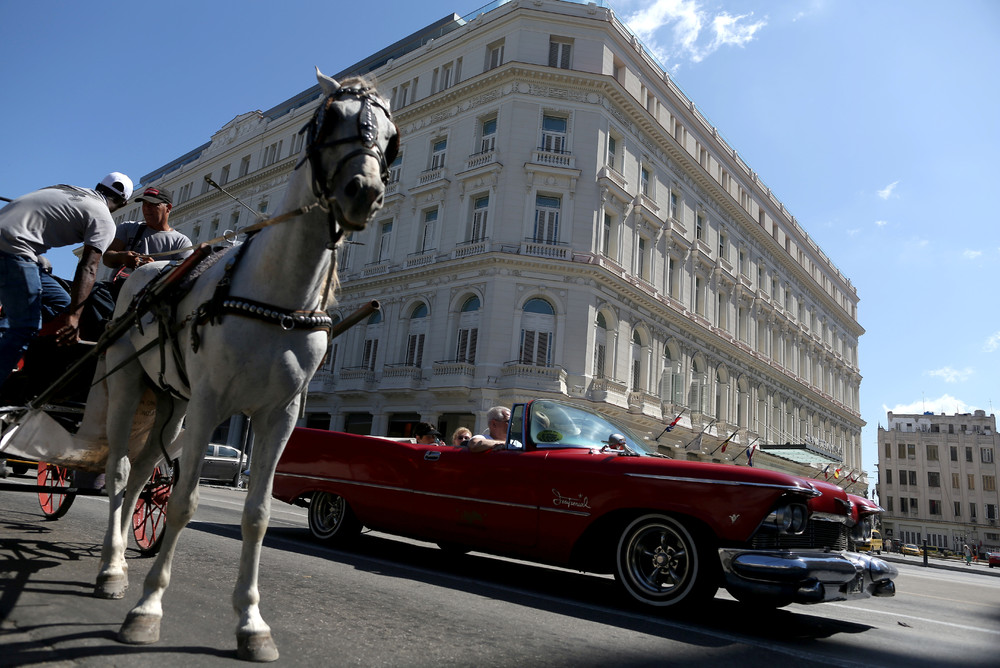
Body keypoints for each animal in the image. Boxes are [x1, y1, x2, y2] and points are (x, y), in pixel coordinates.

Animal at [94, 70, 398, 660]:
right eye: (329, 118)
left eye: (392, 137)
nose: (364, 192)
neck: (277, 297)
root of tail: (148, 269)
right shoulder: (214, 403)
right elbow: (184, 503)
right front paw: (148, 608)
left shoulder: (278, 415)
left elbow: (256, 516)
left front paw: (252, 623)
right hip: (131, 384)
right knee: (118, 470)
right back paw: (112, 568)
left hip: (173, 404)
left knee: (141, 475)